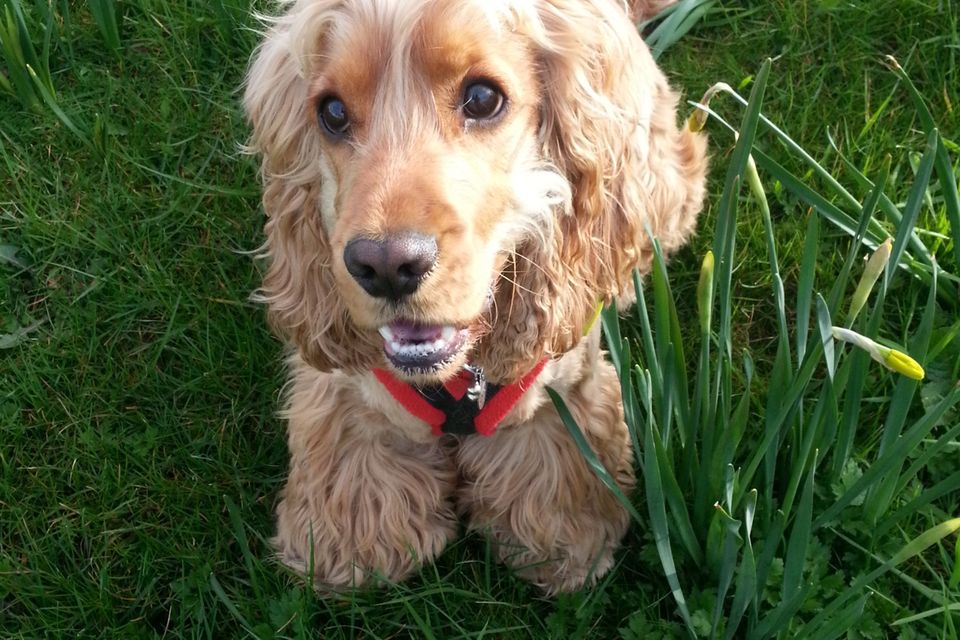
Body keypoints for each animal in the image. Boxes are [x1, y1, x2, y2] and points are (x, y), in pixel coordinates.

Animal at [240, 0, 704, 596]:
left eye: (482, 98)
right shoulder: (348, 394)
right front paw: (350, 551)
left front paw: (568, 547)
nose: (386, 267)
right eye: (333, 112)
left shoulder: (559, 387)